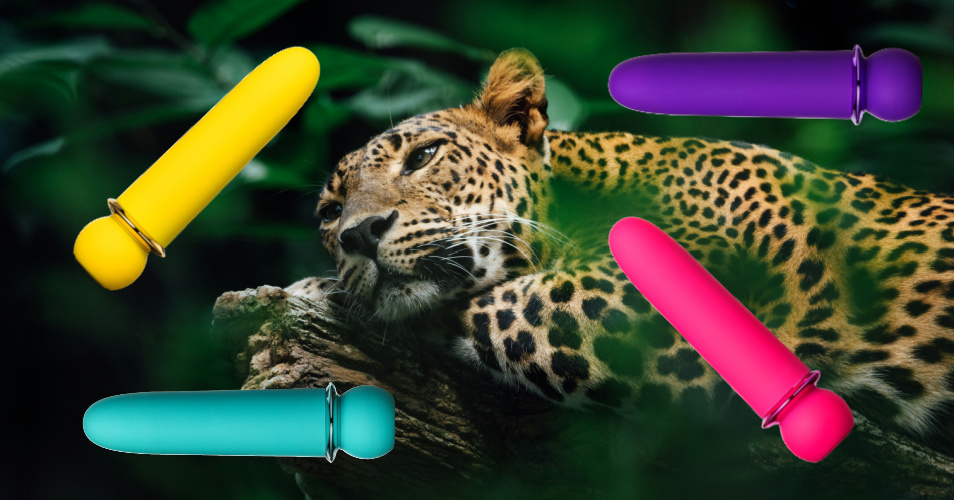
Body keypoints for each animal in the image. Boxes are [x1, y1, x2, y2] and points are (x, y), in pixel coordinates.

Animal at [288, 48, 954, 454]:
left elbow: (485, 306)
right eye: (329, 212)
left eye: (424, 156)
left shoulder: (648, 309)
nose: (358, 235)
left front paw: (314, 290)